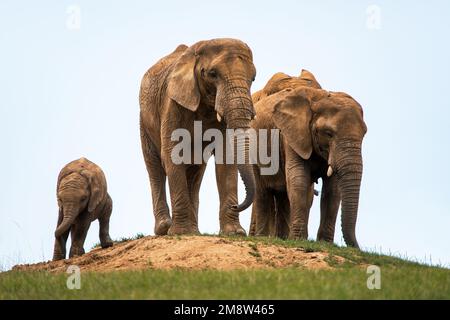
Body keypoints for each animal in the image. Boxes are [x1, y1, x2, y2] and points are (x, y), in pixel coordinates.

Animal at [139, 38, 256, 236]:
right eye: (212, 74)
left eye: (253, 78)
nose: (236, 206)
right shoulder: (172, 104)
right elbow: (172, 155)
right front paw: (180, 233)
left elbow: (226, 159)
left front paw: (235, 233)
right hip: (144, 123)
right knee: (154, 168)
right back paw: (165, 228)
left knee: (195, 171)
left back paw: (194, 230)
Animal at [248, 70, 368, 249]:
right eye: (328, 133)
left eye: (364, 134)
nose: (357, 247)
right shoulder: (291, 135)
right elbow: (298, 180)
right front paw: (298, 240)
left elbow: (333, 190)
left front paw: (324, 244)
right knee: (262, 193)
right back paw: (263, 237)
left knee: (283, 195)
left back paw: (282, 238)